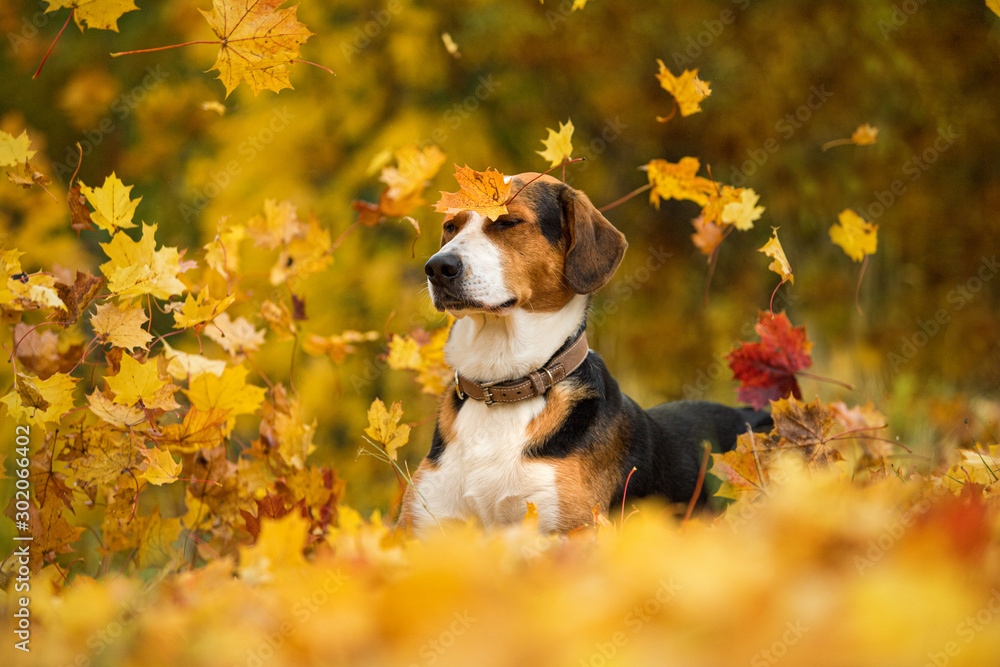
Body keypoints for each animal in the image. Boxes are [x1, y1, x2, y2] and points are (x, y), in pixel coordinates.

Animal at [398, 174, 772, 536]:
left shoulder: (567, 528)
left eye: (508, 222)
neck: (501, 383)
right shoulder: (419, 528)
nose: (438, 267)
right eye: (451, 226)